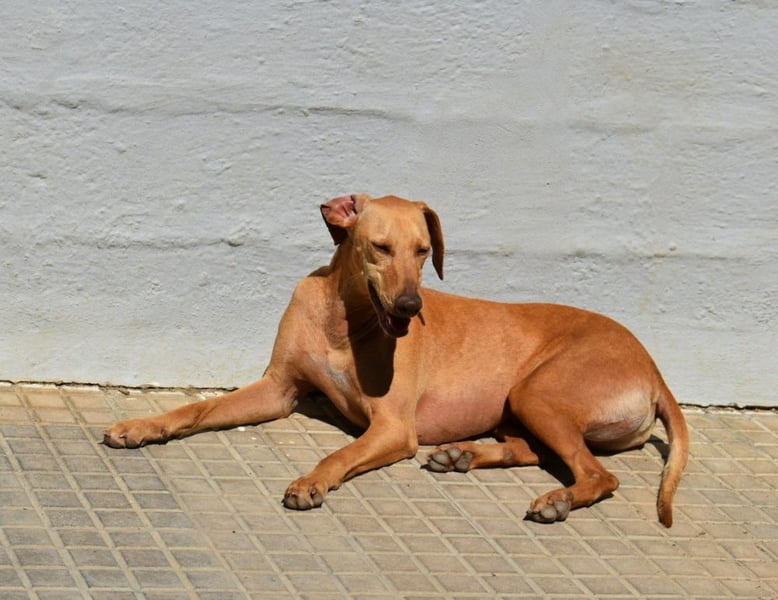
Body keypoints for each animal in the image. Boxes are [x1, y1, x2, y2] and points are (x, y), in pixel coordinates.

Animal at [104, 194, 689, 526]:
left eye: (424, 251)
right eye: (380, 247)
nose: (411, 306)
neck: (342, 321)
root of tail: (655, 371)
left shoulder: (392, 428)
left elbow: (339, 453)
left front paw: (312, 482)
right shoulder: (278, 389)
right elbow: (194, 410)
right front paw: (140, 426)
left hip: (537, 392)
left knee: (598, 475)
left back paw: (556, 500)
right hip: (521, 404)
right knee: (533, 450)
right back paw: (463, 456)